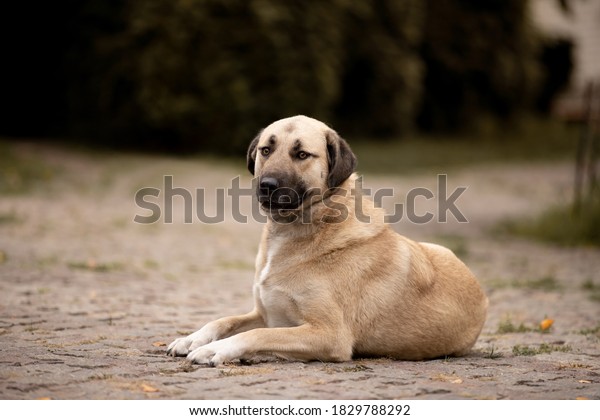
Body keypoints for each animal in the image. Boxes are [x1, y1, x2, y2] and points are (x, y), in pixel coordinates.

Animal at [168, 114, 488, 364]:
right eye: (266, 150)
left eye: (302, 155)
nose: (266, 185)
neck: (298, 230)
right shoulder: (267, 313)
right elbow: (225, 320)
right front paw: (193, 338)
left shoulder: (330, 334)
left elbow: (257, 333)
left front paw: (216, 350)